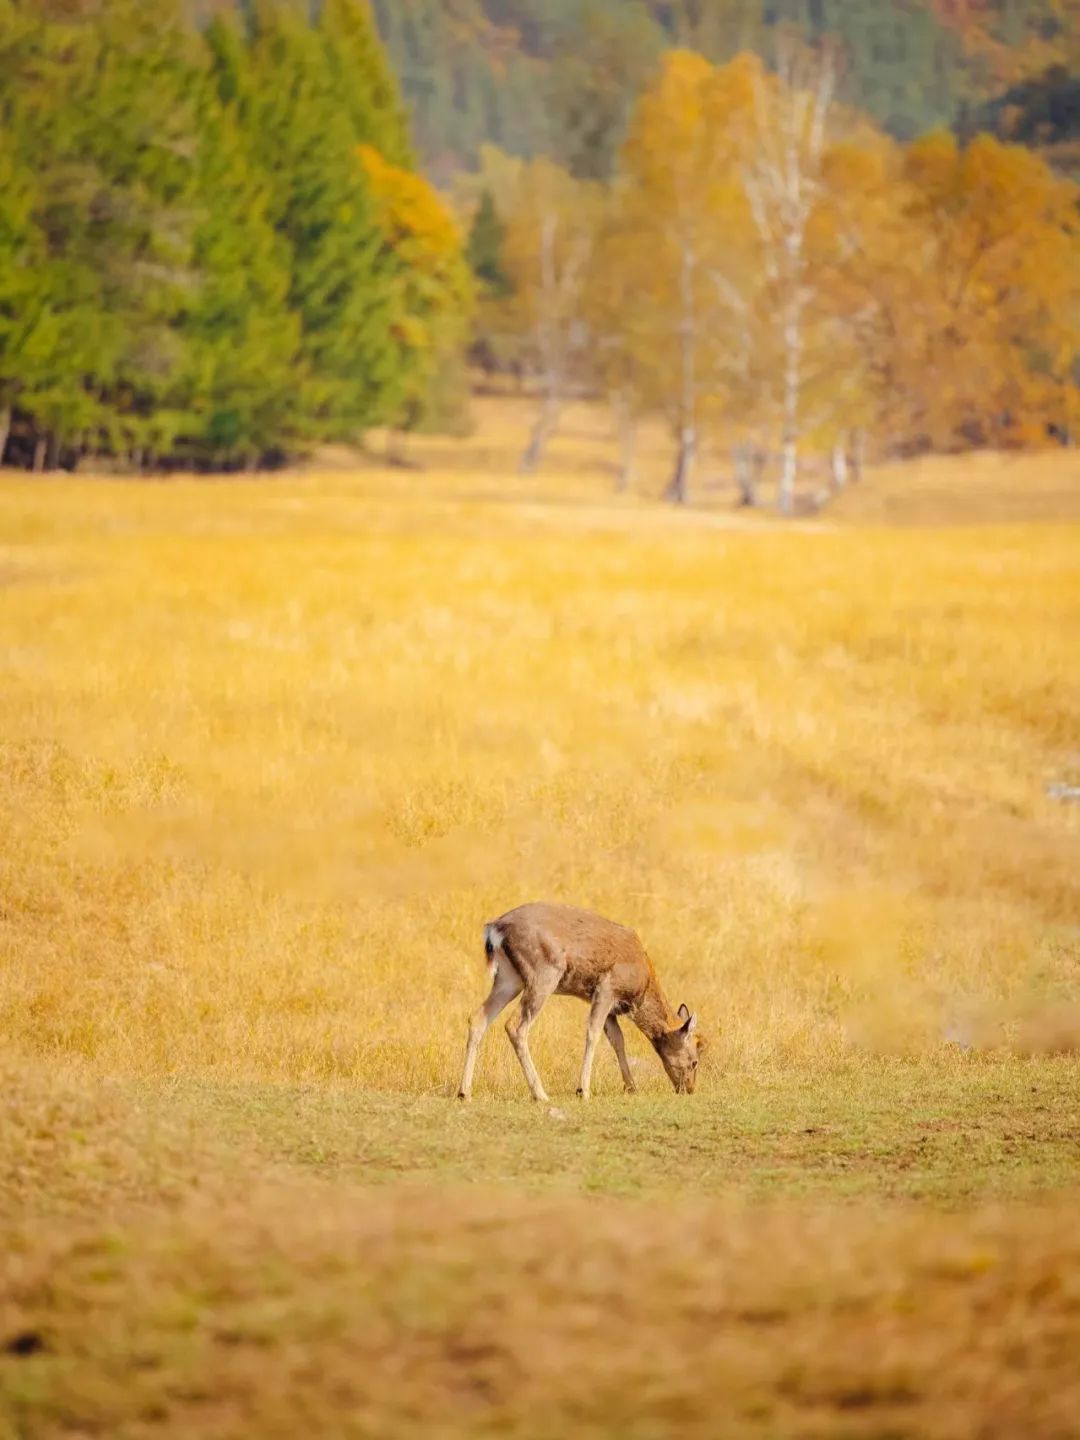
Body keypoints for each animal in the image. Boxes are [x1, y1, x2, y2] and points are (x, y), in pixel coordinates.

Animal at [457, 898, 705, 1100]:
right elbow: (593, 1033)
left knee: (477, 1018)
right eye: (695, 1060)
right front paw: (583, 1090)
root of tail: (494, 929)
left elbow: (617, 1040)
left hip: (509, 979)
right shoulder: (607, 989)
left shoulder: (607, 1006)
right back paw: (540, 1094)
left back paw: (464, 1092)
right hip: (544, 974)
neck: (641, 986)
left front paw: (631, 1086)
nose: (689, 1089)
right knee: (515, 1026)